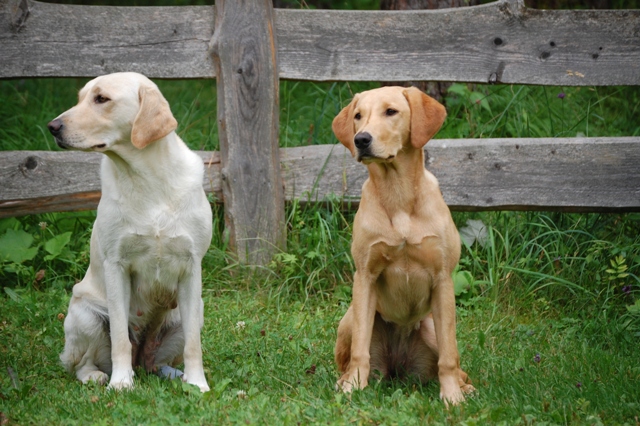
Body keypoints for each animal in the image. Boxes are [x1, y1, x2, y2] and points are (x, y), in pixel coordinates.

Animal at [48, 71, 212, 392]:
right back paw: (99, 375)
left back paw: (175, 375)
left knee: (155, 363)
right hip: (85, 315)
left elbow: (194, 346)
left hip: (191, 312)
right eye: (80, 98)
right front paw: (121, 382)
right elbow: (120, 341)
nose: (53, 127)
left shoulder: (191, 269)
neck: (147, 179)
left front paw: (198, 384)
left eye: (101, 99)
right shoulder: (117, 266)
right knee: (82, 364)